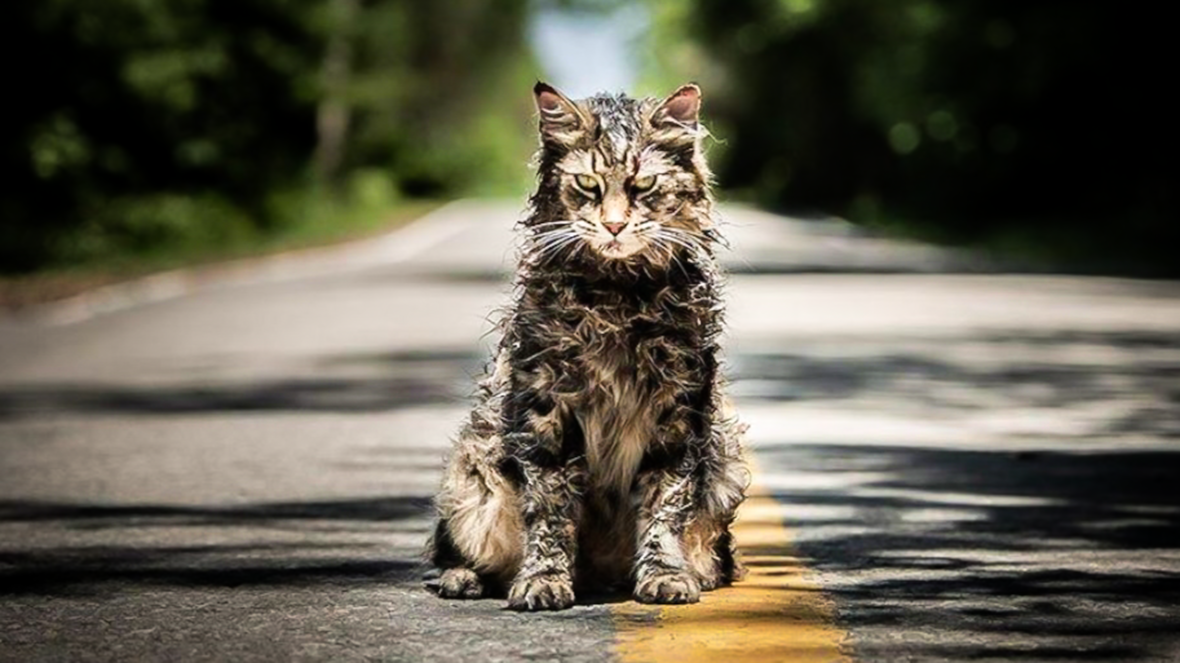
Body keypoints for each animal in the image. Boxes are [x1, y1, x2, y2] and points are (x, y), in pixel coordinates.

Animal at [427, 81, 745, 608]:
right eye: (588, 185)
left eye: (643, 186)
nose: (614, 226)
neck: (617, 298)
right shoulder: (545, 409)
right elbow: (550, 510)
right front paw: (544, 580)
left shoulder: (678, 411)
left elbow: (664, 505)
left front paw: (664, 574)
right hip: (472, 474)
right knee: (458, 549)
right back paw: (464, 578)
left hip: (726, 469)